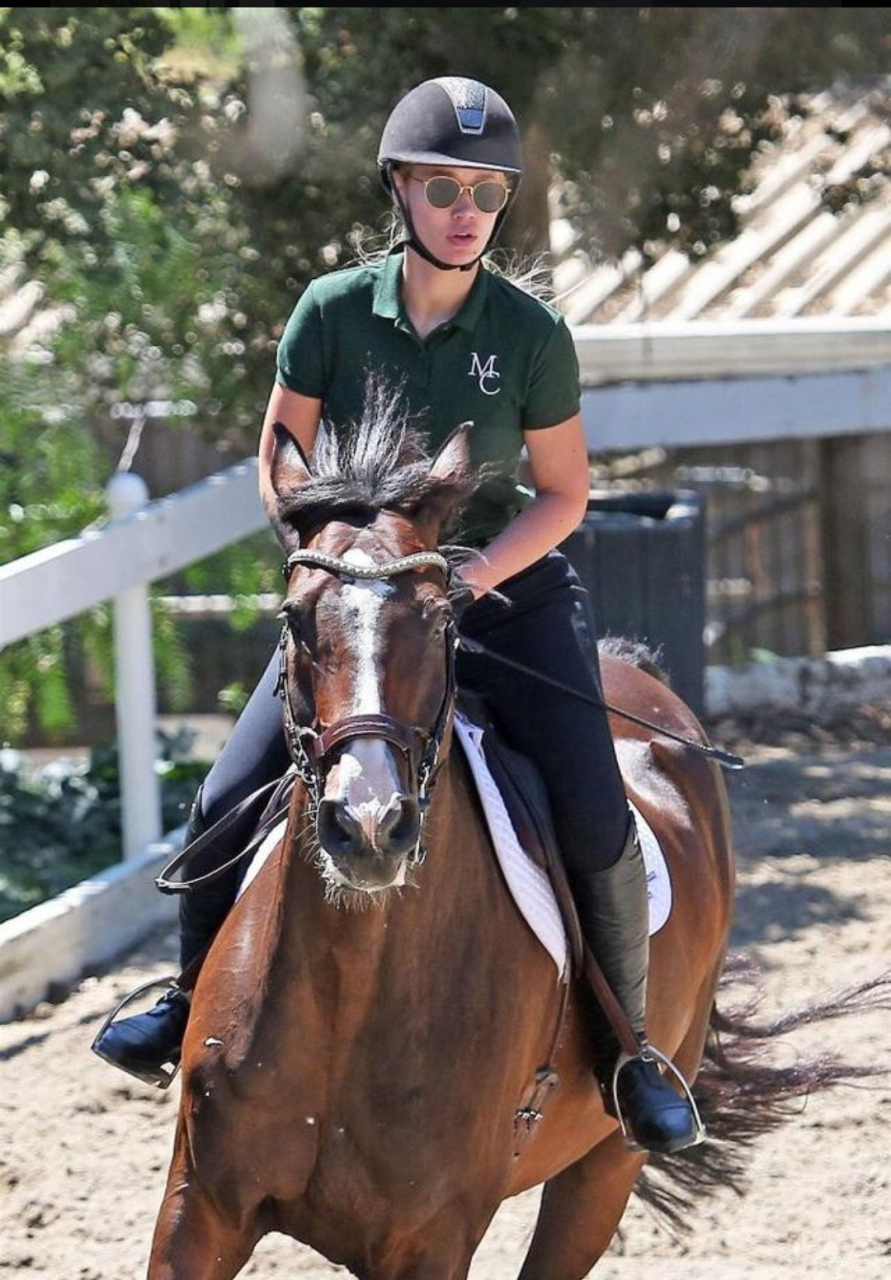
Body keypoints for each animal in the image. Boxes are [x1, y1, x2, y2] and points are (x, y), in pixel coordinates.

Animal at [144, 404, 855, 1274]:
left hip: (604, 1166)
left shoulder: (429, 1240)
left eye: (438, 620)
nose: (368, 825)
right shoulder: (198, 1209)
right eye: (293, 617)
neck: (350, 987)